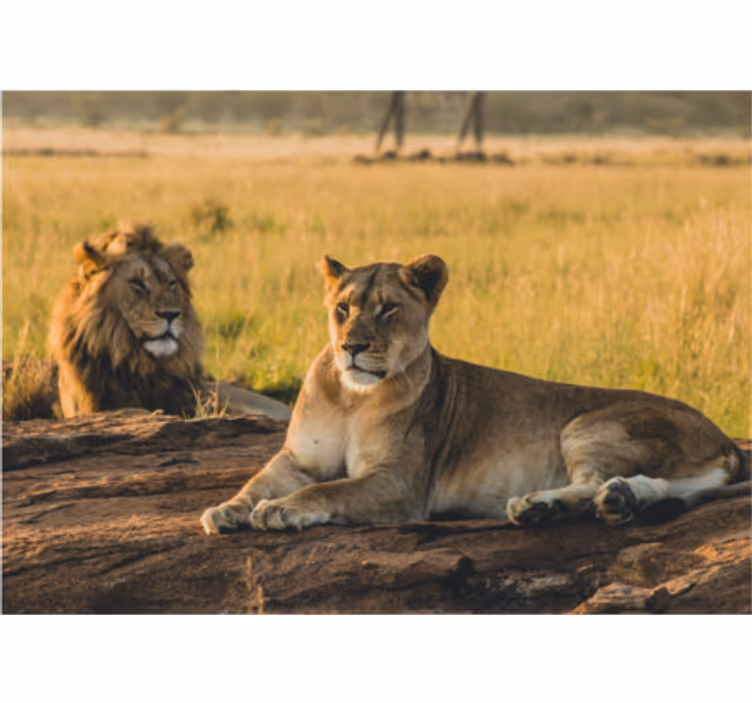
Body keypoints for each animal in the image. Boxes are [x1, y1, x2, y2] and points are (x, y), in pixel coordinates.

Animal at [201, 254, 748, 535]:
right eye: (343, 308)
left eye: (388, 309)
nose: (352, 347)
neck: (352, 397)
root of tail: (724, 439)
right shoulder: (299, 458)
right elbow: (258, 481)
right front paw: (227, 510)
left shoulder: (399, 483)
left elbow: (327, 490)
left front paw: (280, 510)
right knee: (656, 487)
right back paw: (613, 500)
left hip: (588, 423)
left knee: (594, 480)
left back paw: (541, 505)